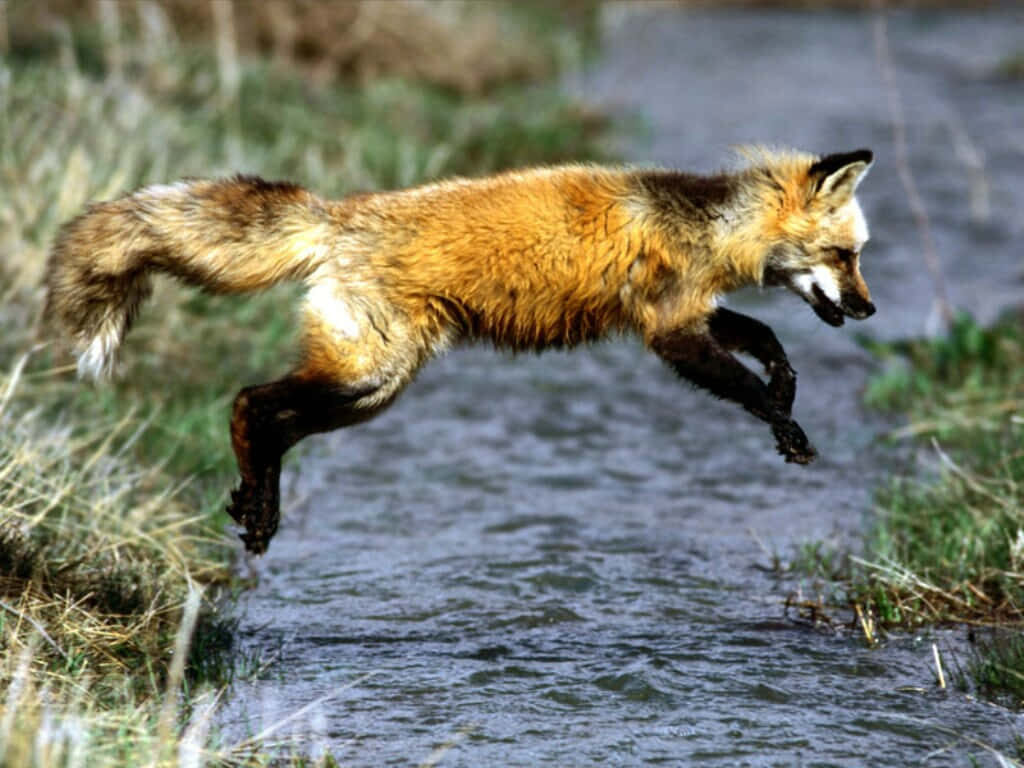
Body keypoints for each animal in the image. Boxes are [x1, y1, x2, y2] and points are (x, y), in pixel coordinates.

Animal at [45, 147, 875, 554]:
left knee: (274, 421)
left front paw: (788, 391)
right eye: (844, 255)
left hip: (373, 390)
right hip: (368, 371)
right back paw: (258, 506)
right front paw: (785, 425)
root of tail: (337, 214)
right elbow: (748, 384)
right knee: (251, 403)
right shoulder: (668, 329)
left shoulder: (690, 313)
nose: (869, 309)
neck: (703, 227)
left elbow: (767, 340)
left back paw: (258, 507)